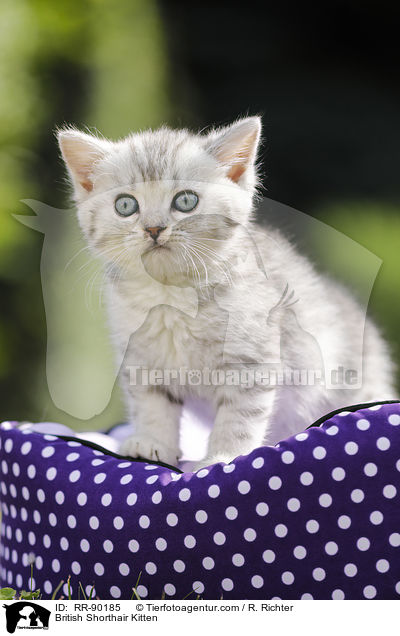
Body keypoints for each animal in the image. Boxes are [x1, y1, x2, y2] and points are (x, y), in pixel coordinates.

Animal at [57, 117, 396, 470]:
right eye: (125, 205)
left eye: (186, 201)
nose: (153, 228)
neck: (172, 294)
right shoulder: (141, 357)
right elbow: (151, 404)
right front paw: (151, 444)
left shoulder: (252, 359)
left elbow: (239, 415)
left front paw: (223, 458)